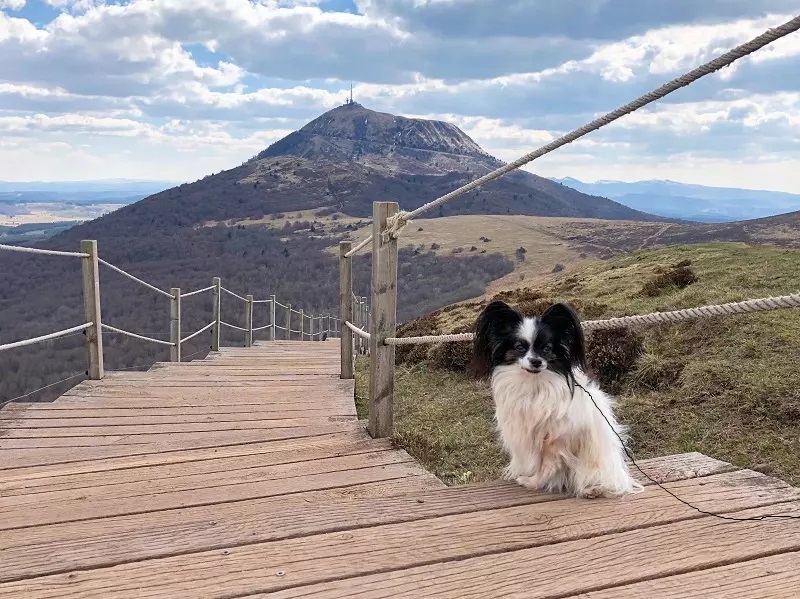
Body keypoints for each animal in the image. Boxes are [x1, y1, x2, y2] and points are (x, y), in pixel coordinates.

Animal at [472, 302, 640, 500]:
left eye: (546, 348)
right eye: (520, 347)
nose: (536, 361)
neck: (534, 385)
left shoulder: (554, 439)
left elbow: (547, 465)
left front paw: (533, 482)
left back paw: (592, 489)